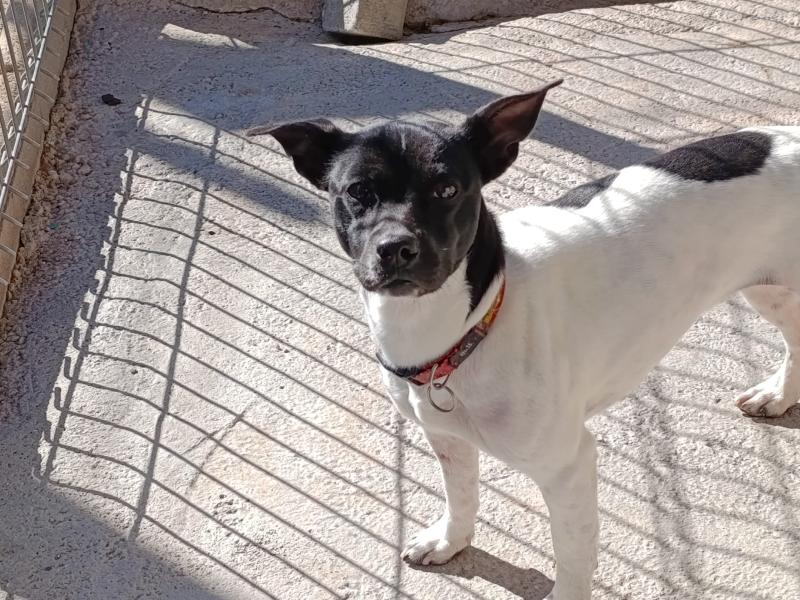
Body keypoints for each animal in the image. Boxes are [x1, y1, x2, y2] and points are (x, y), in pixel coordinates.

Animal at [251, 80, 800, 599]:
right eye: (357, 191)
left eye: (447, 189)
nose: (395, 248)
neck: (466, 330)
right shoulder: (446, 438)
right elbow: (462, 495)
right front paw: (450, 541)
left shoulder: (569, 466)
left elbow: (573, 555)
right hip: (768, 292)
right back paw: (777, 396)